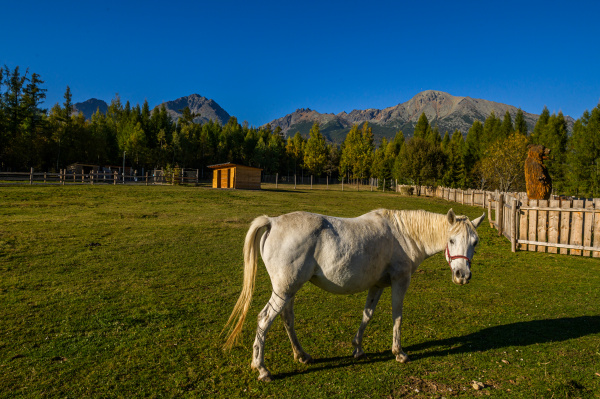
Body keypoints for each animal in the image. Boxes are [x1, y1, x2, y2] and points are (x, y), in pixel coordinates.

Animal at [223, 209, 486, 382]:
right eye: (451, 240)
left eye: (475, 242)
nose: (462, 275)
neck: (404, 235)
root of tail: (273, 222)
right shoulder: (400, 281)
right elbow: (397, 316)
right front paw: (399, 353)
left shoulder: (377, 285)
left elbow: (367, 315)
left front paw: (357, 348)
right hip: (284, 290)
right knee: (264, 319)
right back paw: (262, 369)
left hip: (288, 290)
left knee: (287, 319)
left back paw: (301, 355)